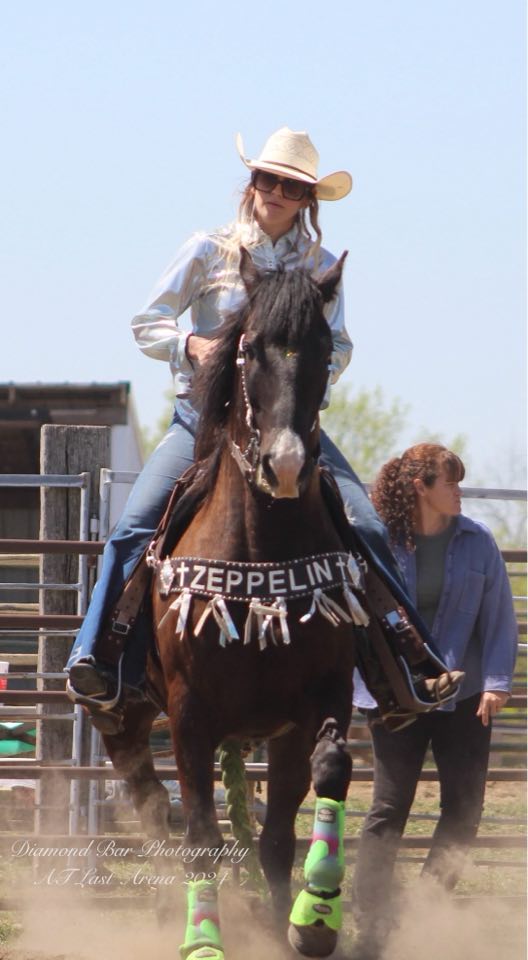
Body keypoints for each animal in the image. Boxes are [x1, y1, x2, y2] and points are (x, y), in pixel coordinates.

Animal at [102, 249, 367, 960]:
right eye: (248, 349)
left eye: (324, 346)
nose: (286, 465)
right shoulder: (190, 713)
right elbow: (200, 835)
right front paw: (203, 939)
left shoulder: (322, 699)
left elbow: (315, 791)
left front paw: (313, 916)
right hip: (126, 718)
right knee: (149, 803)